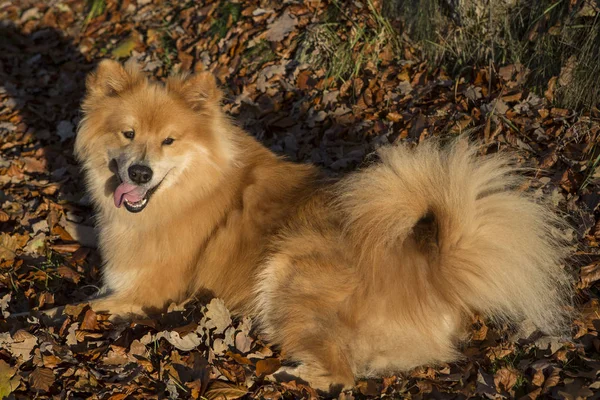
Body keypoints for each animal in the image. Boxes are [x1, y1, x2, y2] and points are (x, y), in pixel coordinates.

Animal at [75, 59, 572, 390]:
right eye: (128, 134)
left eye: (170, 141)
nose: (139, 173)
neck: (192, 188)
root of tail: (430, 269)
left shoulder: (150, 293)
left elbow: (78, 307)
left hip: (289, 267)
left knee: (343, 375)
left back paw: (298, 374)